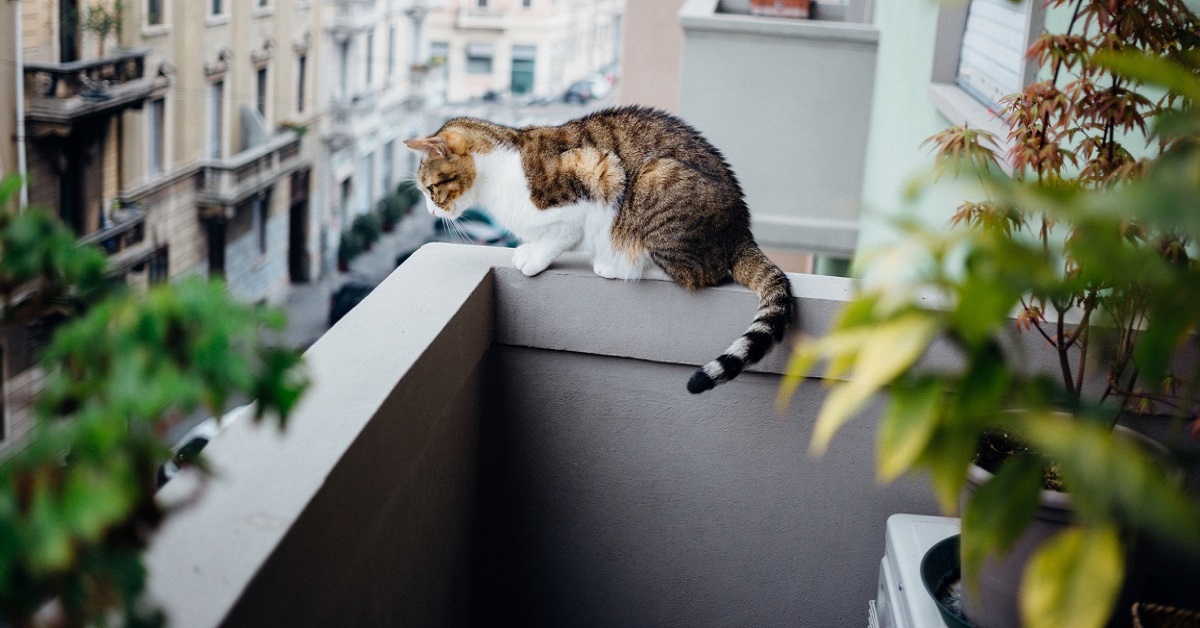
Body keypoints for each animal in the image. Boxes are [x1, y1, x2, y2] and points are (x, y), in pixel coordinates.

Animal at [405, 107, 796, 393]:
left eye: (429, 190)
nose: (430, 213)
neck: (498, 175)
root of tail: (741, 228)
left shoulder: (597, 176)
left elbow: (558, 237)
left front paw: (533, 258)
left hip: (654, 179)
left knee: (695, 273)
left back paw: (618, 265)